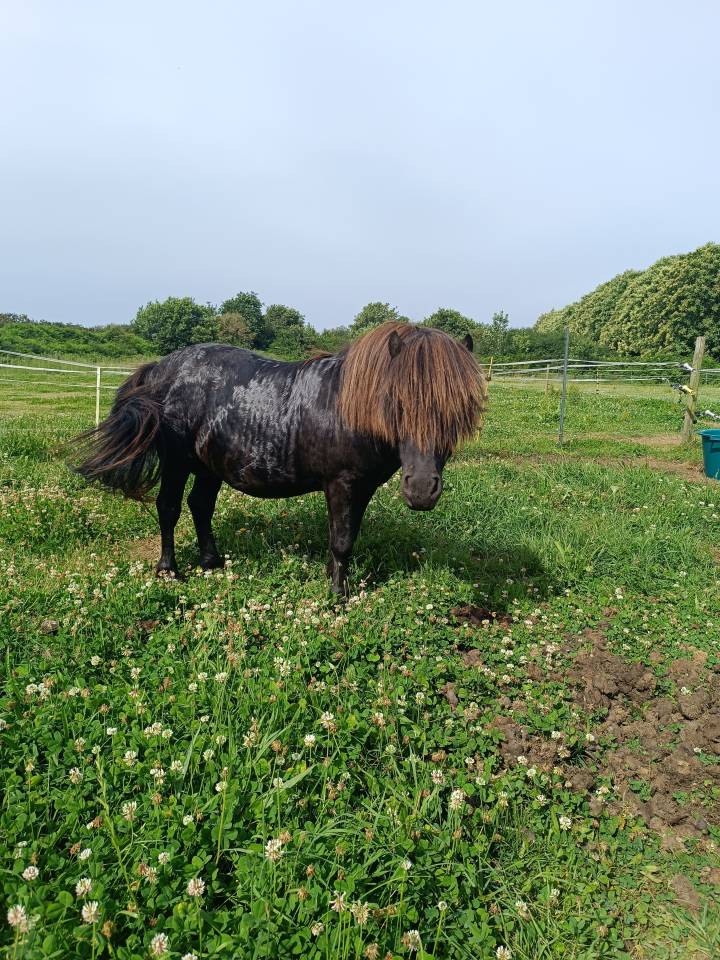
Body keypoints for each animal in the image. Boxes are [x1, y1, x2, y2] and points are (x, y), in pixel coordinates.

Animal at [72, 321, 486, 595]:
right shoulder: (342, 483)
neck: (350, 408)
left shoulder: (360, 487)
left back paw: (212, 563)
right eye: (398, 403)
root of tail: (161, 368)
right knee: (169, 508)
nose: (422, 490)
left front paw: (333, 578)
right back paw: (169, 571)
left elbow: (343, 536)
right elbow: (342, 540)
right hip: (177, 463)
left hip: (209, 466)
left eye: (460, 409)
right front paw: (338, 596)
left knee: (200, 506)